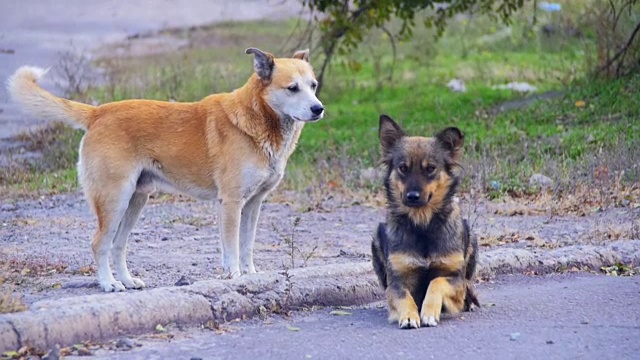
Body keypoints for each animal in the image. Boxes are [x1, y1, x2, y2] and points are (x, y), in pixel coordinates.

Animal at [6, 46, 322, 292]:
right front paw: (234, 277)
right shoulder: (231, 203)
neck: (257, 119)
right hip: (114, 200)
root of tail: (98, 112)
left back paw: (127, 280)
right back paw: (109, 283)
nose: (319, 109)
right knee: (99, 244)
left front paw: (252, 275)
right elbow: (232, 247)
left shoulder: (254, 203)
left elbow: (247, 245)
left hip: (135, 201)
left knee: (118, 244)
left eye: (314, 85)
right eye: (292, 88)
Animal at [368, 115, 478, 330]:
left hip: (471, 237)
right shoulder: (396, 281)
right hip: (377, 238)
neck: (422, 224)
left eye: (430, 169)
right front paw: (409, 316)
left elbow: (437, 282)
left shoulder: (455, 279)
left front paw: (429, 312)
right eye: (403, 168)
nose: (412, 196)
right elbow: (404, 297)